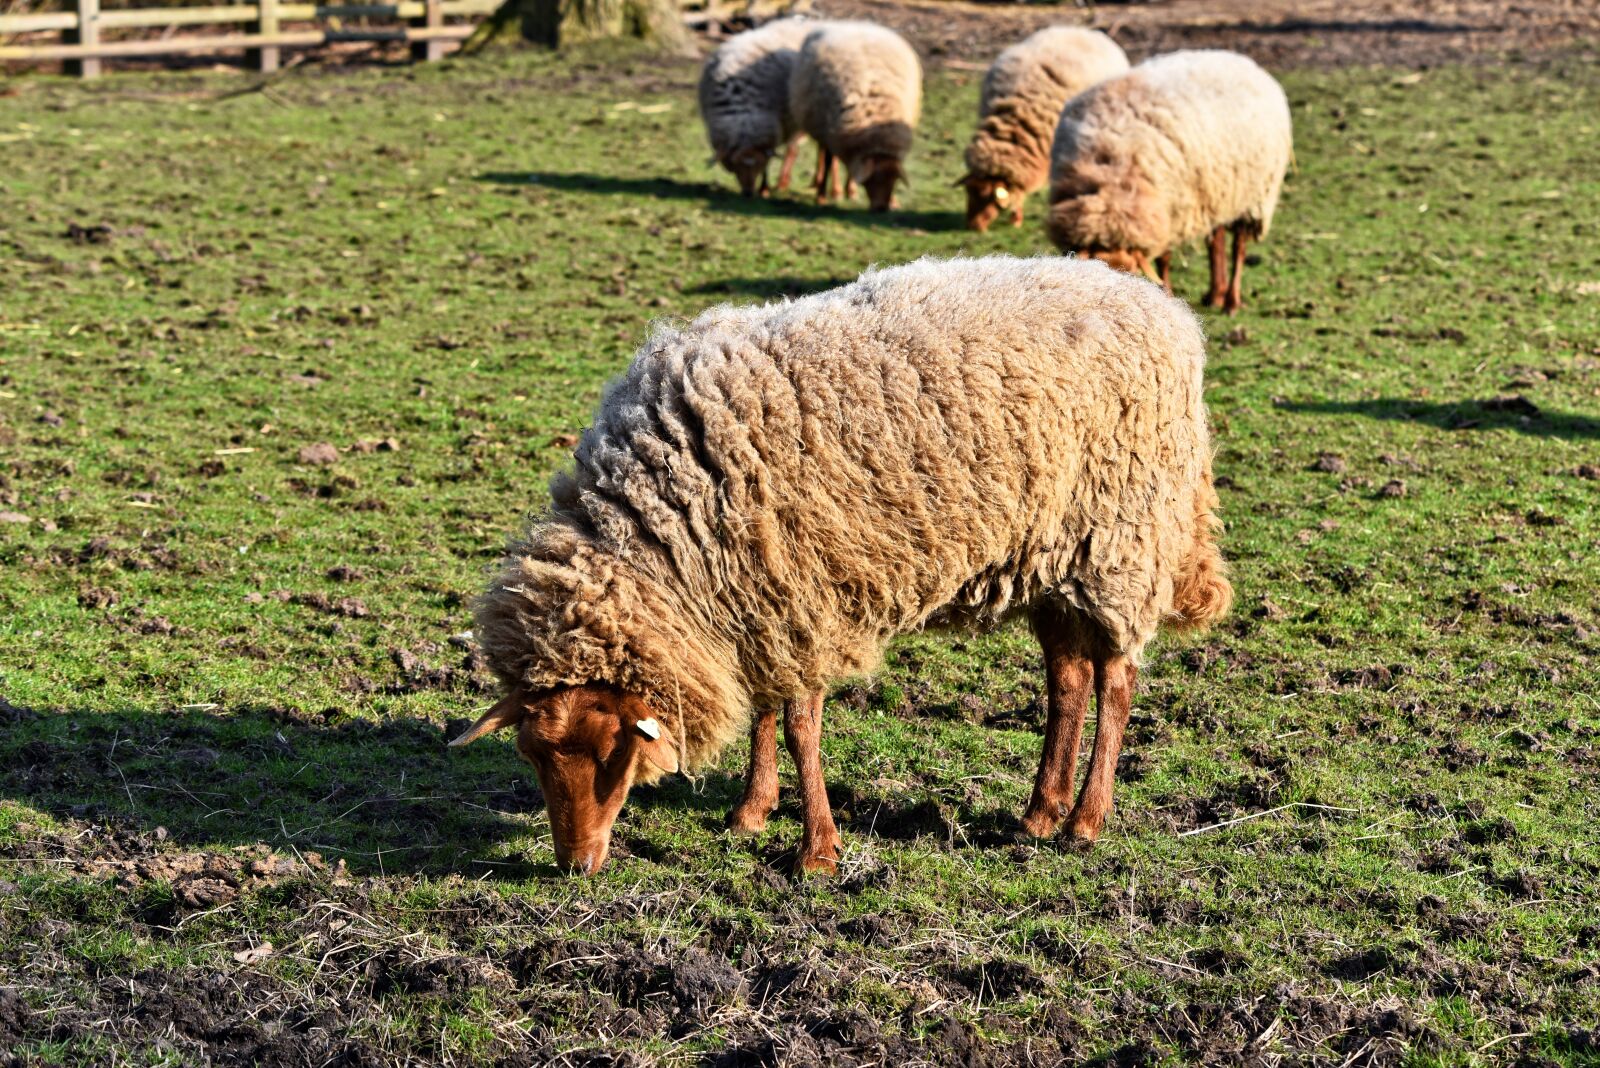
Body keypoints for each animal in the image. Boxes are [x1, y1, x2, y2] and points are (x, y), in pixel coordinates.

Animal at [451, 255, 1232, 876]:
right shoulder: (760, 596)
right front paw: (751, 812)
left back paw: (1085, 823)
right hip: (1052, 558)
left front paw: (816, 851)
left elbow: (801, 726)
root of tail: (1156, 303)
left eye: (613, 753)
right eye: (535, 758)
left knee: (1117, 683)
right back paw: (1040, 814)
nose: (575, 866)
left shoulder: (801, 594)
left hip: (1119, 542)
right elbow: (768, 709)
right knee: (1068, 681)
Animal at [789, 21, 922, 211]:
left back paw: (847, 190)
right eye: (872, 179)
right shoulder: (831, 131)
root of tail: (853, 23)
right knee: (827, 156)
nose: (881, 208)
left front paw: (893, 201)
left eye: (894, 181)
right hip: (822, 124)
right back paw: (830, 188)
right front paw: (821, 197)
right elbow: (829, 161)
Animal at [1045, 49, 1292, 313]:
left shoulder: (1173, 208)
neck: (1110, 182)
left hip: (1253, 196)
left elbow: (1164, 258)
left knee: (1239, 248)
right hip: (1221, 191)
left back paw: (1231, 301)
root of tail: (1240, 59)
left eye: (1132, 273)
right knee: (1217, 240)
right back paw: (1215, 295)